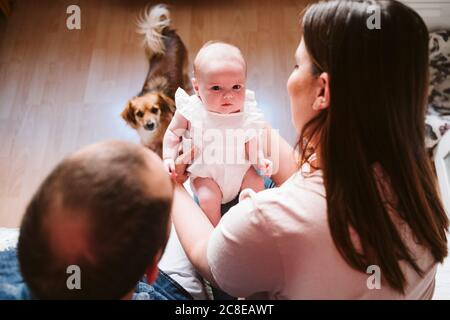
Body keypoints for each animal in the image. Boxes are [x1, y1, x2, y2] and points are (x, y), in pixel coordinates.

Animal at [120, 3, 191, 156]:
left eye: (155, 110)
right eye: (139, 114)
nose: (149, 124)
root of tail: (166, 31)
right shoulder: (147, 143)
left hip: (185, 65)